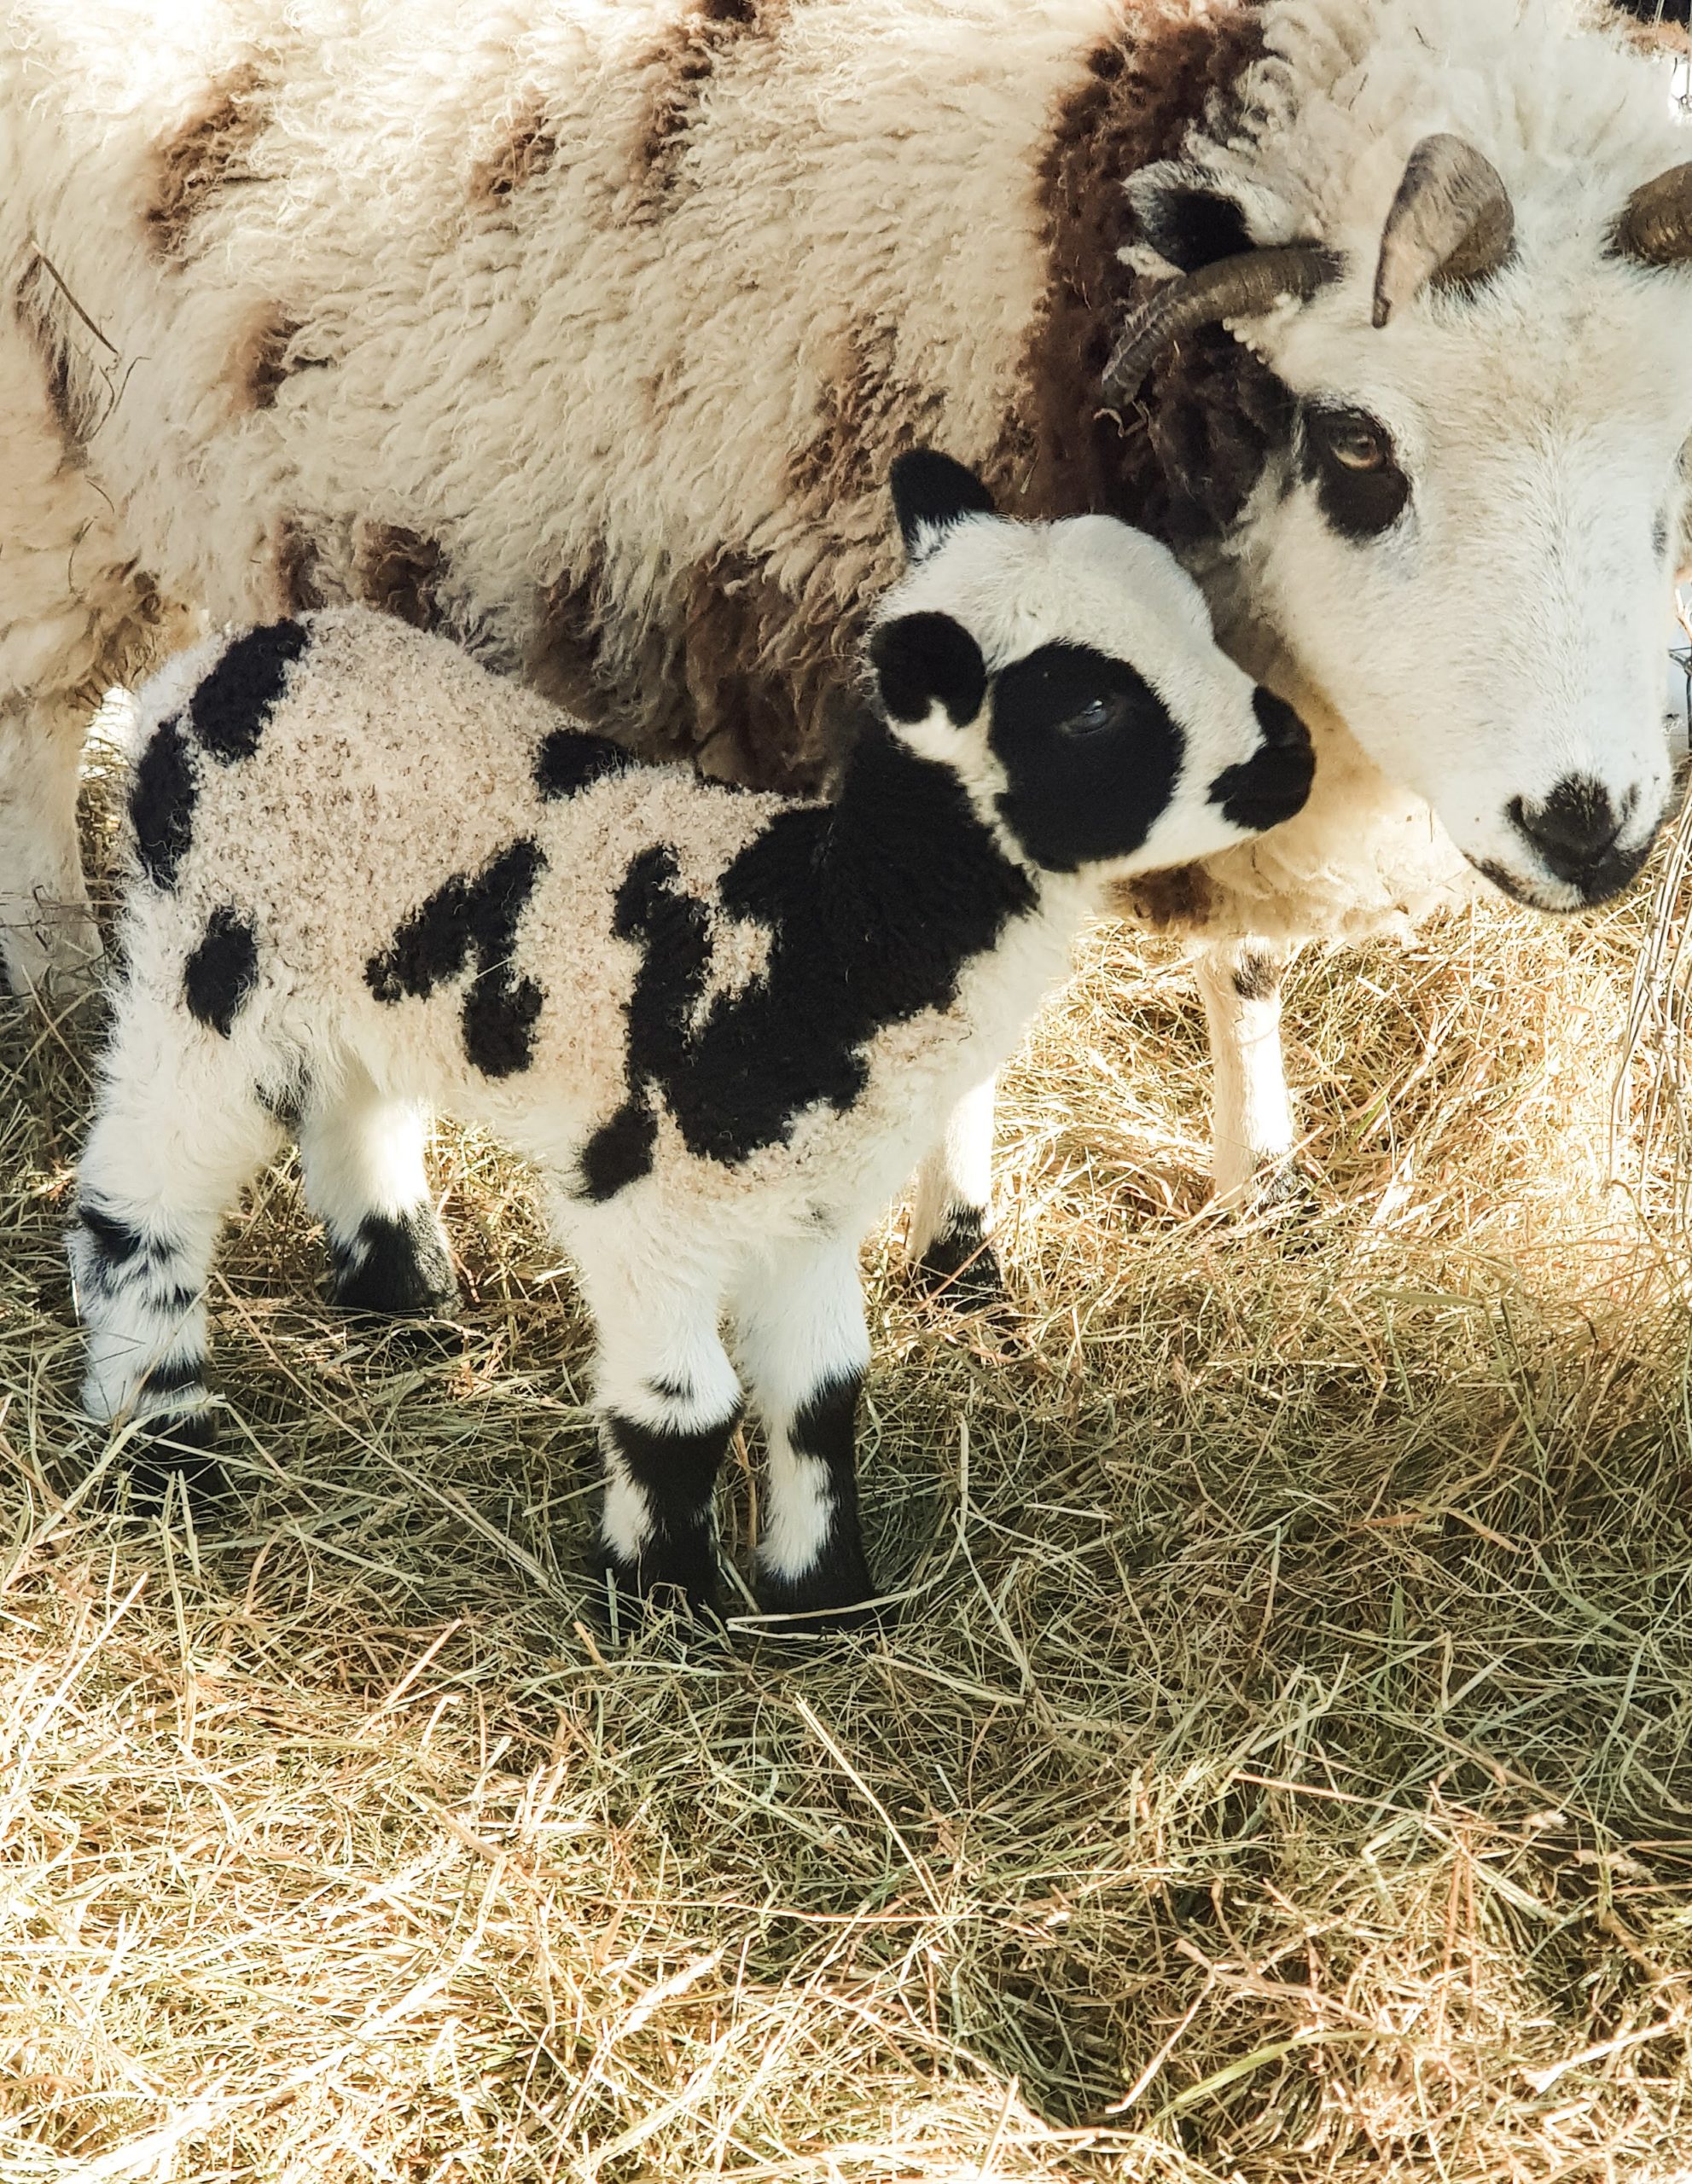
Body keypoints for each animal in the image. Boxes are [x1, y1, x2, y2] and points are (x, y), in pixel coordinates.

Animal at [9, 0, 1692, 1284]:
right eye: (1354, 444)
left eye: (1676, 460)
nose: (1589, 829)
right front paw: (963, 1249)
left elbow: (1253, 963)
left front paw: (1261, 1181)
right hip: (53, 454)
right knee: (36, 725)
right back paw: (58, 979)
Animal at [68, 454, 1313, 1621]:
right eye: (1089, 709)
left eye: (1204, 625)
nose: (1293, 754)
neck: (821, 934)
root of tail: (219, 667)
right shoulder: (642, 1203)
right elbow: (685, 1409)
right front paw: (659, 1598)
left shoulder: (810, 1210)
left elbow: (821, 1397)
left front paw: (822, 1601)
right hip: (205, 962)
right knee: (143, 1189)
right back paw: (161, 1438)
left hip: (360, 974)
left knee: (354, 1106)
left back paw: (405, 1289)